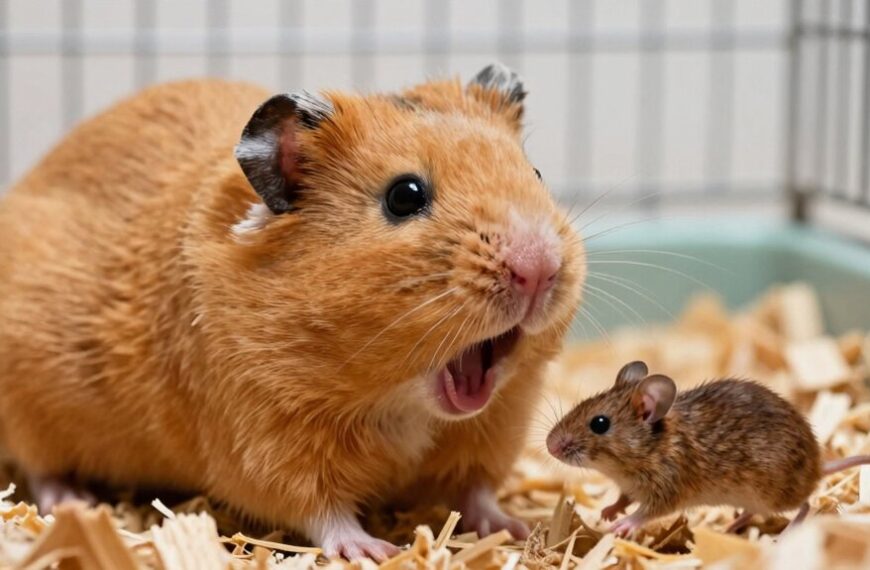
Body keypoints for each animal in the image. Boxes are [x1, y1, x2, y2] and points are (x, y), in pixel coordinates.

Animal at [0, 64, 585, 560]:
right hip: (28, 403)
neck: (402, 402)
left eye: (535, 174)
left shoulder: (494, 426)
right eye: (404, 196)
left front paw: (514, 527)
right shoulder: (265, 440)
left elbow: (477, 491)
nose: (539, 267)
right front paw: (374, 550)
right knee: (39, 466)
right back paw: (72, 503)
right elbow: (320, 509)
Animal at [547, 361, 870, 536]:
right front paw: (607, 513)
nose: (549, 445)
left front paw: (622, 525)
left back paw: (785, 535)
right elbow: (622, 499)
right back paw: (729, 526)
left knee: (806, 506)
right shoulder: (630, 487)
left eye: (599, 423)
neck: (651, 447)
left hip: (775, 495)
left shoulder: (666, 490)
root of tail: (820, 468)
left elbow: (643, 513)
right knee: (753, 513)